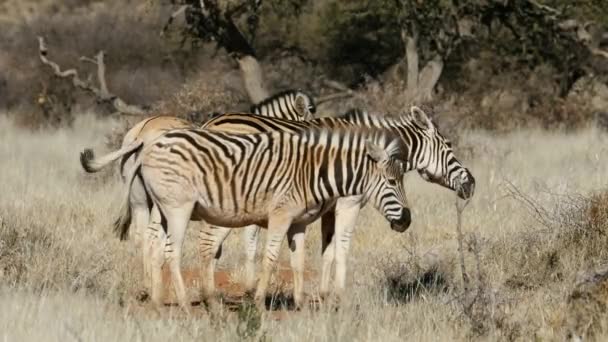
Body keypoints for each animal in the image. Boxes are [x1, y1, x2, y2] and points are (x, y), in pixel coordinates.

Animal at [111, 126, 410, 310]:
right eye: (392, 182)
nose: (406, 221)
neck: (313, 173)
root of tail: (149, 146)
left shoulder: (299, 222)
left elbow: (298, 262)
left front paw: (300, 303)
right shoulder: (280, 215)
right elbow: (270, 258)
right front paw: (258, 300)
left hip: (162, 209)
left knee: (156, 248)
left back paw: (159, 301)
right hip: (178, 208)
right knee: (172, 252)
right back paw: (184, 303)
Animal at [200, 105, 476, 300]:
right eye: (449, 146)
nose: (472, 183)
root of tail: (210, 122)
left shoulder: (329, 208)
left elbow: (328, 249)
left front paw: (323, 294)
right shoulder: (348, 202)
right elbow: (342, 247)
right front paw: (339, 295)